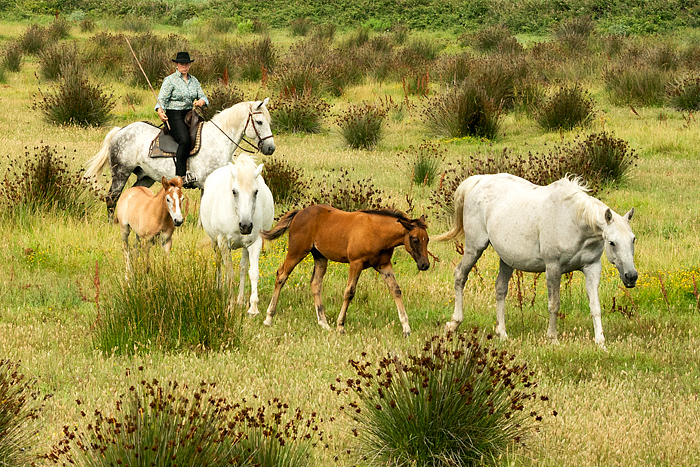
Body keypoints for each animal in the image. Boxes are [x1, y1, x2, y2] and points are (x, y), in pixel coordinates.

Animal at [85, 98, 276, 219]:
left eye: (269, 121)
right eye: (259, 122)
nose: (270, 148)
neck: (218, 139)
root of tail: (121, 130)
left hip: (145, 177)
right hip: (120, 173)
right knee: (112, 198)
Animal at [200, 155, 274, 316]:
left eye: (256, 192)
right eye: (234, 191)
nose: (245, 226)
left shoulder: (255, 242)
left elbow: (252, 272)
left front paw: (253, 307)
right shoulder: (223, 242)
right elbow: (230, 273)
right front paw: (230, 305)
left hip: (245, 246)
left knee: (242, 268)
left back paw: (240, 300)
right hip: (215, 242)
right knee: (219, 264)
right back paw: (219, 290)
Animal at [260, 206, 430, 336]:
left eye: (427, 239)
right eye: (415, 239)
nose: (425, 265)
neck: (377, 232)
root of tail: (300, 212)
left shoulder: (384, 265)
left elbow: (396, 290)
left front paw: (406, 328)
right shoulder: (356, 263)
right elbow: (349, 292)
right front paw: (340, 326)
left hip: (320, 256)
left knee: (315, 283)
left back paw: (323, 323)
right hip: (297, 251)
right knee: (281, 275)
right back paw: (268, 318)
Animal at [432, 174, 636, 350]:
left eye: (633, 239)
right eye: (612, 242)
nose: (631, 276)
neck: (574, 219)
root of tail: (479, 180)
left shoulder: (592, 267)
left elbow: (595, 306)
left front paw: (600, 343)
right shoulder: (553, 268)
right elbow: (554, 304)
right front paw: (553, 339)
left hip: (507, 259)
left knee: (500, 289)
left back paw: (502, 333)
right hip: (475, 247)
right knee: (460, 276)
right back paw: (454, 323)